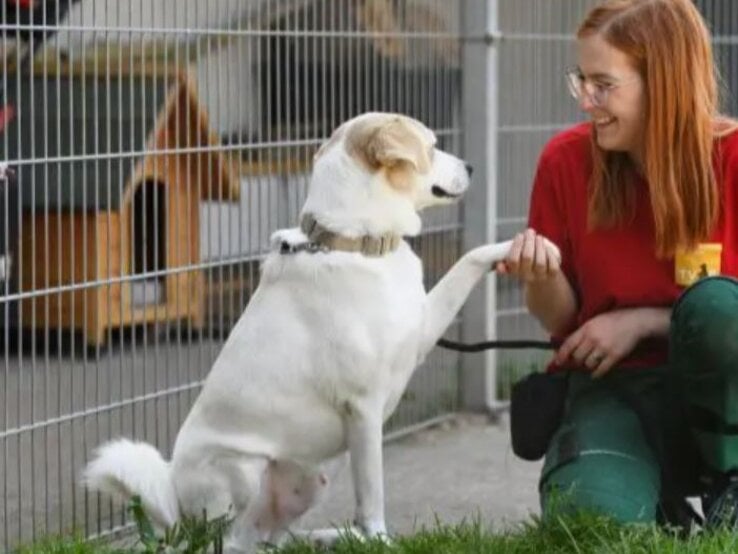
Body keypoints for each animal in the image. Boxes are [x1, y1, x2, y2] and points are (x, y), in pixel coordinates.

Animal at [83, 111, 556, 548]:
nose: (473, 167)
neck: (356, 244)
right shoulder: (363, 409)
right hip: (242, 471)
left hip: (310, 481)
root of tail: (176, 508)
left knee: (269, 537)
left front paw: (523, 247)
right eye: (432, 146)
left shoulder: (421, 334)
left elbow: (468, 260)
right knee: (229, 541)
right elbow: (372, 492)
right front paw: (379, 541)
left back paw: (327, 538)